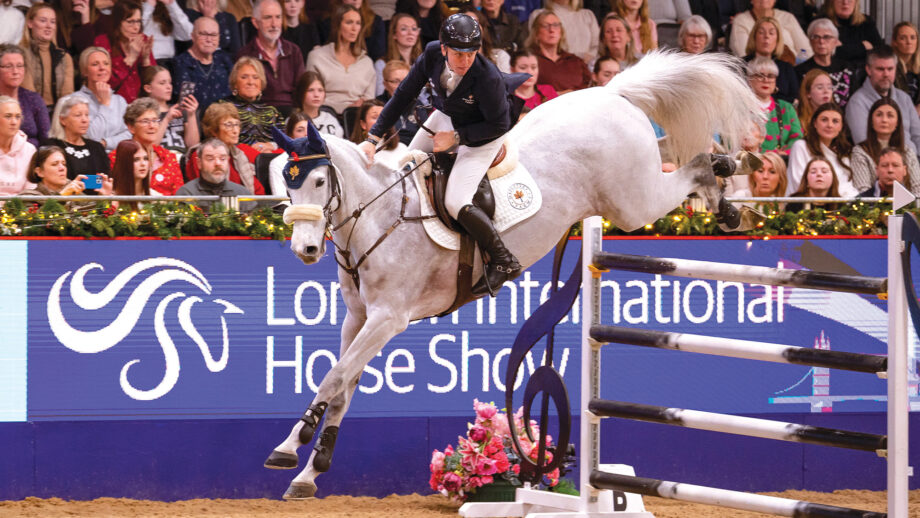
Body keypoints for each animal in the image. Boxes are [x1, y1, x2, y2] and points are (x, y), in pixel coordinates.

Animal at [263, 50, 763, 499]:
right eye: (287, 181)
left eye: (320, 182)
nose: (306, 250)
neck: (378, 216)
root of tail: (610, 93)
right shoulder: (358, 318)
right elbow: (343, 384)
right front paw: (310, 472)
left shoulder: (389, 318)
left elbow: (333, 377)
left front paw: (289, 448)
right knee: (675, 155)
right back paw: (734, 175)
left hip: (634, 203)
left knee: (690, 167)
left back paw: (728, 184)